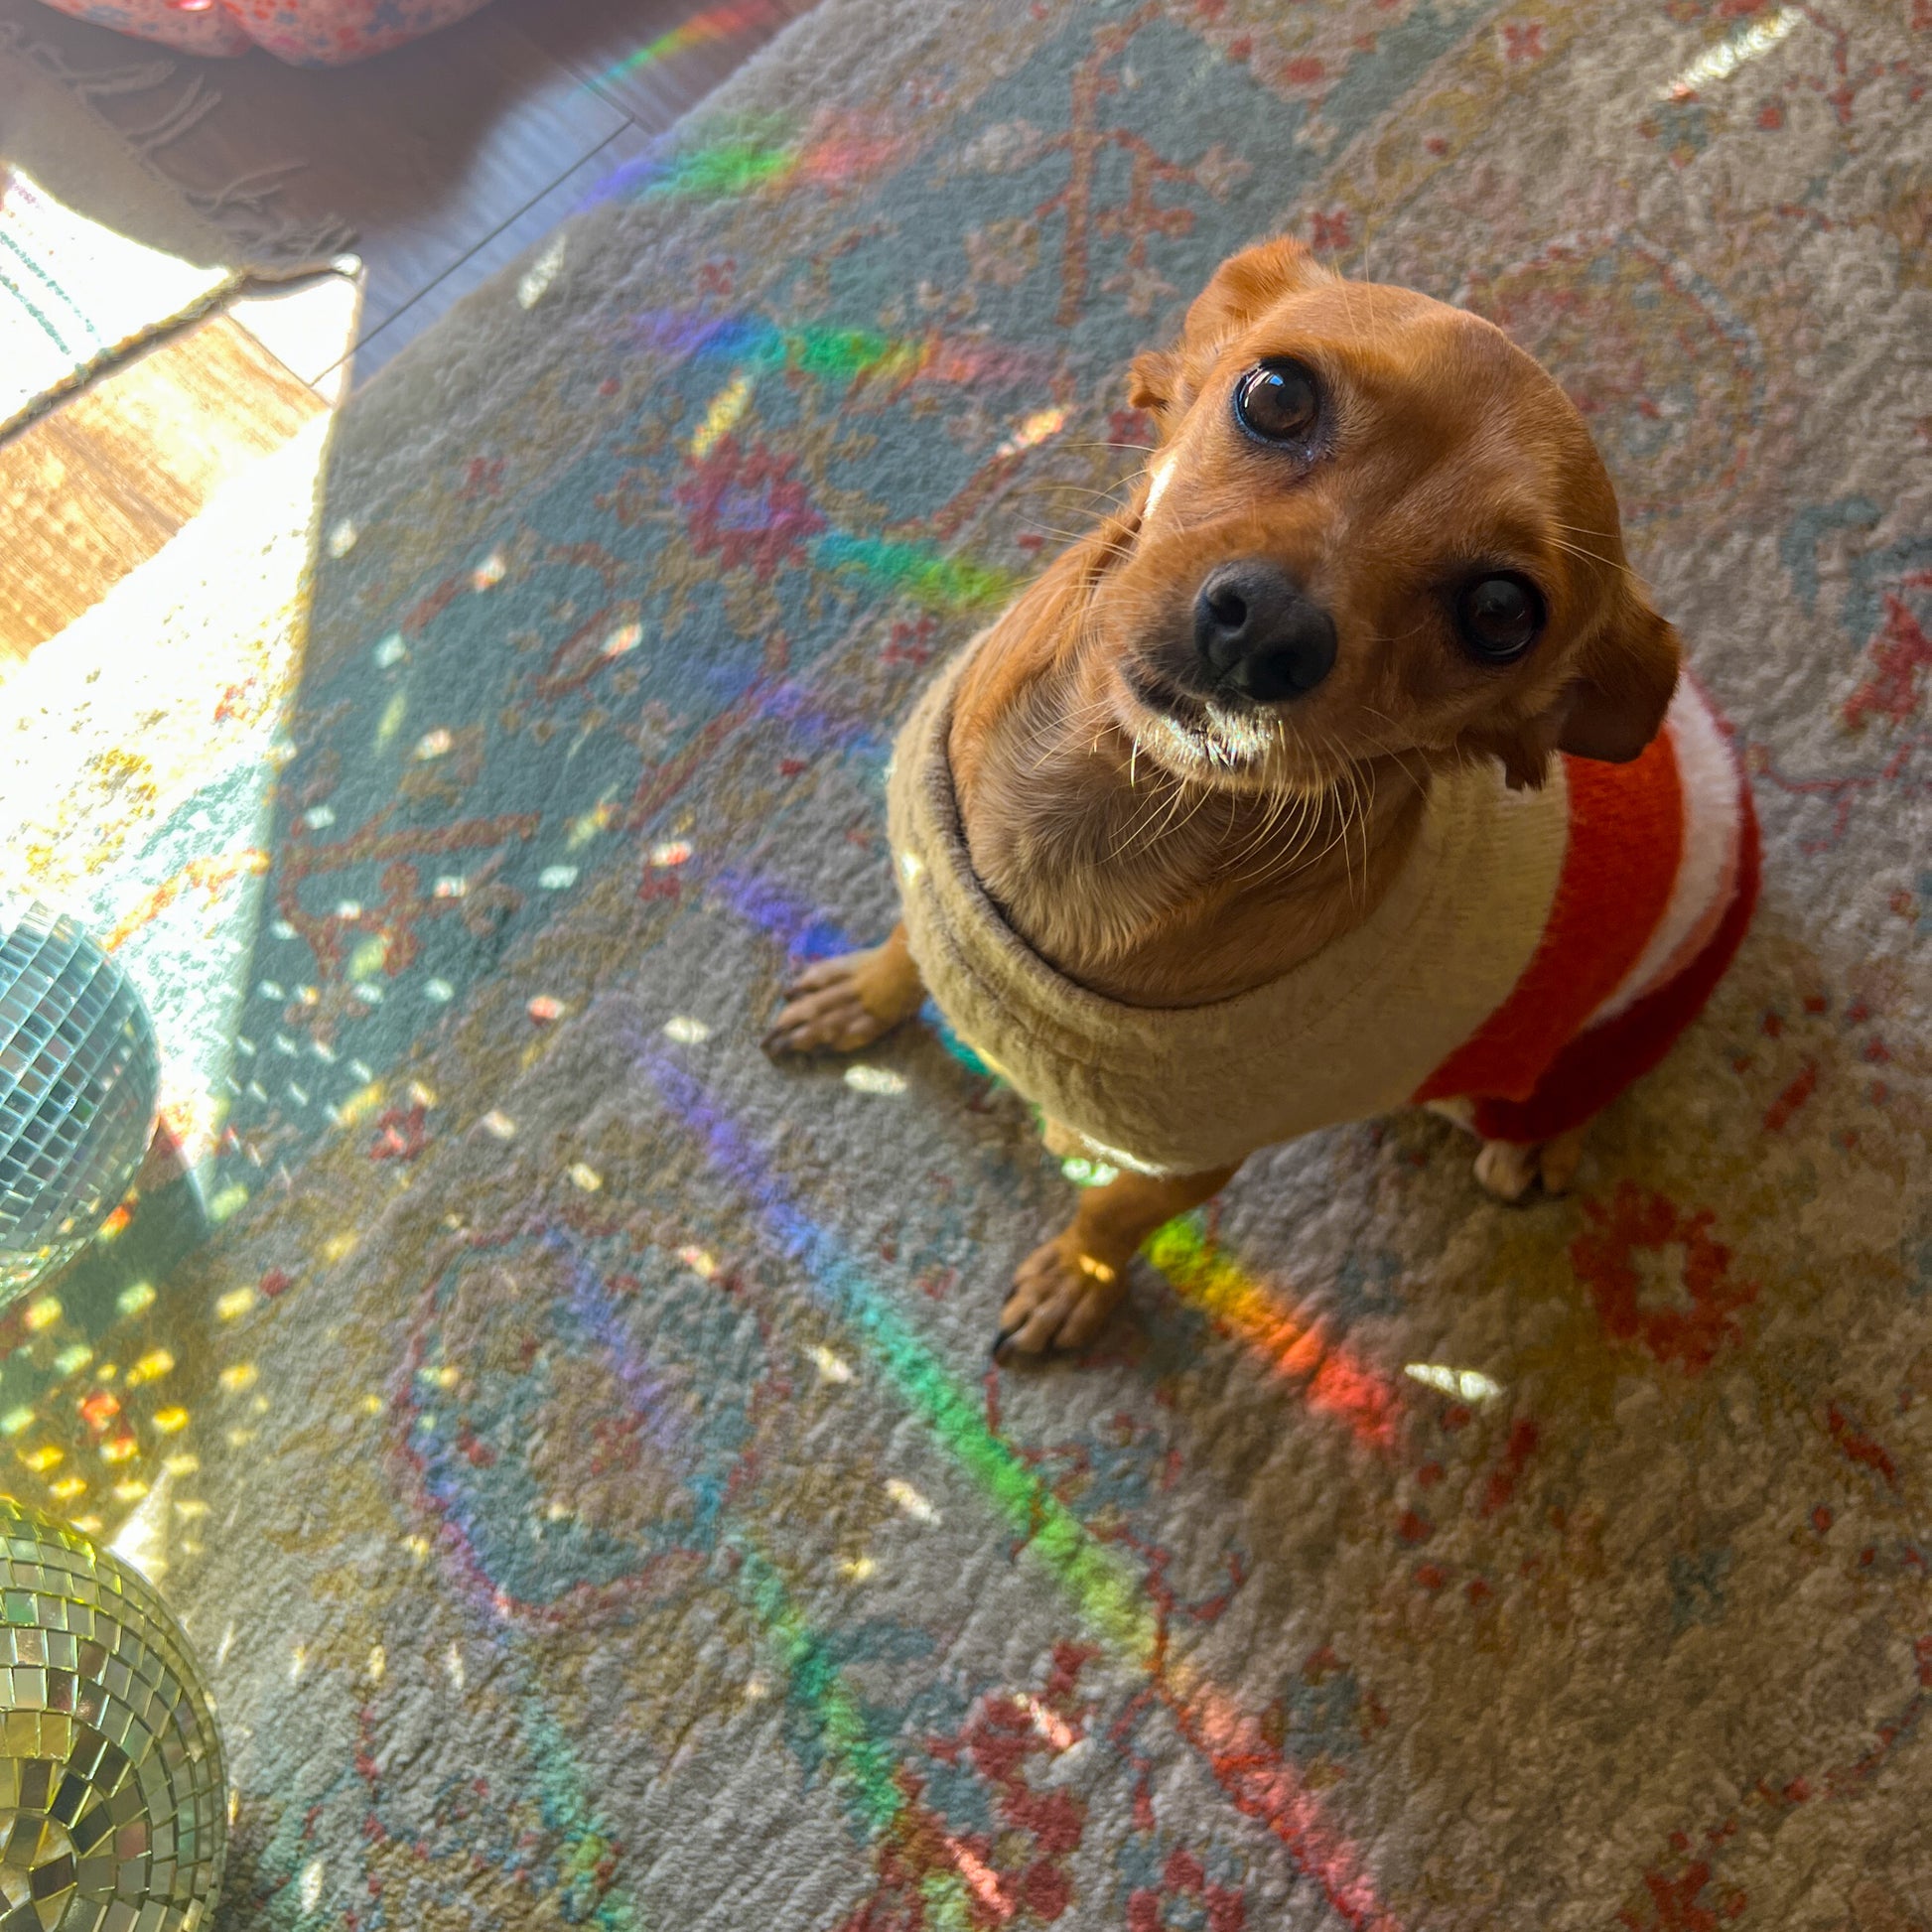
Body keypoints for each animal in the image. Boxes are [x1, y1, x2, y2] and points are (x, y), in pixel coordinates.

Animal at [764, 237, 1753, 1359]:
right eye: (1276, 394)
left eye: (1501, 613)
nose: (1267, 630)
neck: (1092, 814)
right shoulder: (938, 893)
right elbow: (908, 951)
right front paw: (863, 992)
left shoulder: (1182, 1165)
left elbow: (1110, 1214)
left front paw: (1074, 1279)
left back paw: (1537, 1146)